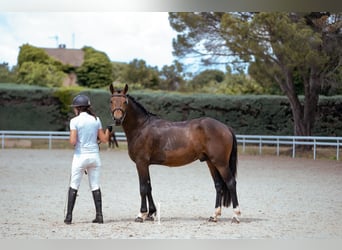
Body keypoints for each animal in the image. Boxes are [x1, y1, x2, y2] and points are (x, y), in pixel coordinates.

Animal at [109, 83, 240, 223]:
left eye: (125, 102)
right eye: (111, 101)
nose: (117, 119)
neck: (141, 127)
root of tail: (226, 128)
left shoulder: (141, 162)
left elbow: (143, 188)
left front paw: (141, 214)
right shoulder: (145, 164)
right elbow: (149, 187)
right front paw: (151, 213)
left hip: (221, 163)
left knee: (231, 183)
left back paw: (236, 215)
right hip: (211, 162)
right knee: (218, 185)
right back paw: (214, 216)